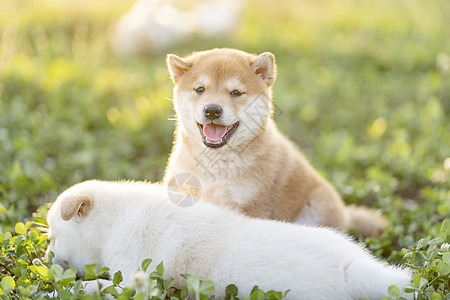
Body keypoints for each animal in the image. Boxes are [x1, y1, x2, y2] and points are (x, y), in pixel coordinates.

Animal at [46, 180, 412, 300]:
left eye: (52, 237)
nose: (45, 258)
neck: (115, 221)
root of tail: (352, 268)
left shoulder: (137, 282)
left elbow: (95, 286)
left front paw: (57, 290)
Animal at [164, 48, 386, 237]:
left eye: (236, 92)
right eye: (200, 89)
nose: (212, 110)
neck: (215, 167)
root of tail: (344, 215)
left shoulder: (250, 205)